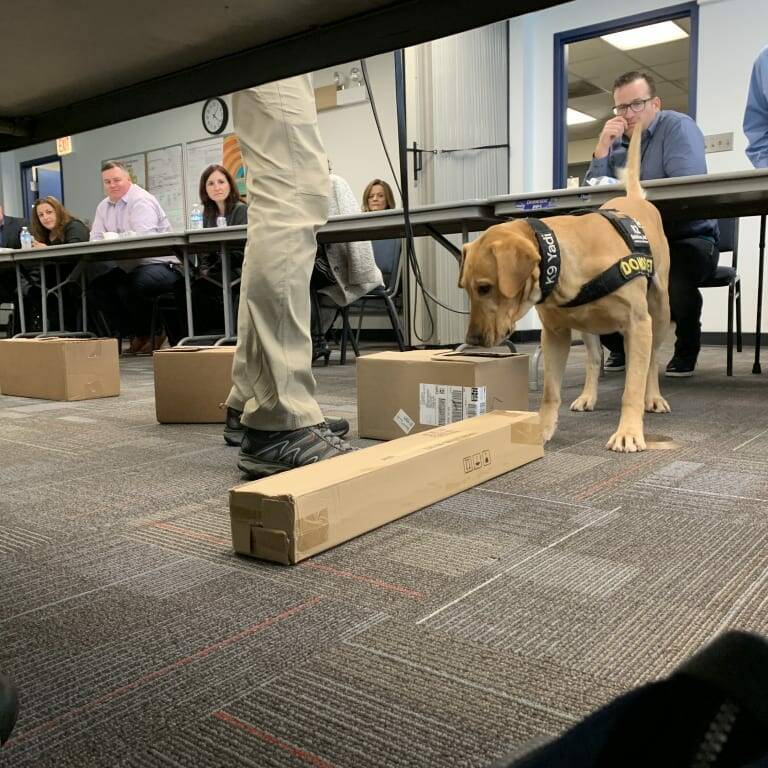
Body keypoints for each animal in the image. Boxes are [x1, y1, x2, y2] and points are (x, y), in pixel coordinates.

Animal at [460, 125, 668, 450]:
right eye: (466, 289)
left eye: (484, 288)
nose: (473, 340)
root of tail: (634, 198)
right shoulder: (555, 334)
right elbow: (550, 391)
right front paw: (543, 427)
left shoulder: (638, 323)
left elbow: (632, 388)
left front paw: (629, 431)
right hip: (588, 325)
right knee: (594, 359)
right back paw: (588, 395)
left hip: (659, 312)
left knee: (652, 359)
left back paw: (654, 397)